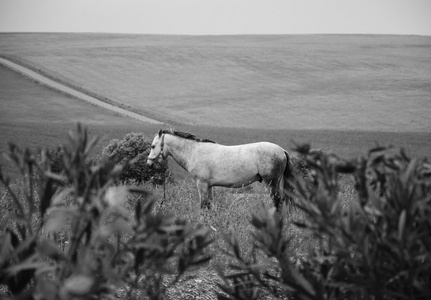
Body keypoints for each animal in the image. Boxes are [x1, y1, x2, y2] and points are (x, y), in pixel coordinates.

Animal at [148, 130, 294, 210]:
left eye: (153, 146)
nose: (149, 164)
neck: (194, 151)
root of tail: (282, 150)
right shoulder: (209, 186)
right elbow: (209, 205)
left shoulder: (201, 184)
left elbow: (203, 205)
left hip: (271, 183)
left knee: (277, 201)